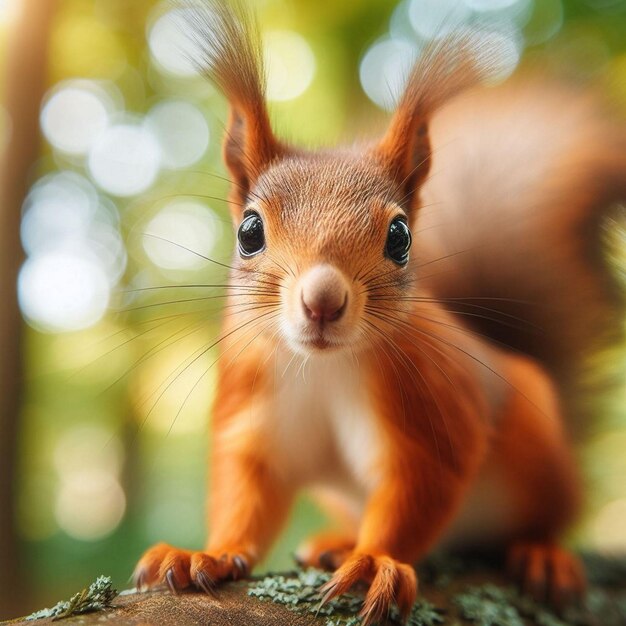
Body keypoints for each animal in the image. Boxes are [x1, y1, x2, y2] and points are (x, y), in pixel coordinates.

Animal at [133, 2, 624, 620]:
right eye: (248, 232)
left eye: (400, 237)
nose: (322, 300)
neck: (322, 369)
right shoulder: (252, 409)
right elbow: (246, 493)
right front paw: (208, 554)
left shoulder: (434, 404)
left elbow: (418, 489)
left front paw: (372, 562)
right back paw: (335, 541)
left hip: (540, 459)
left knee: (546, 518)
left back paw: (543, 553)